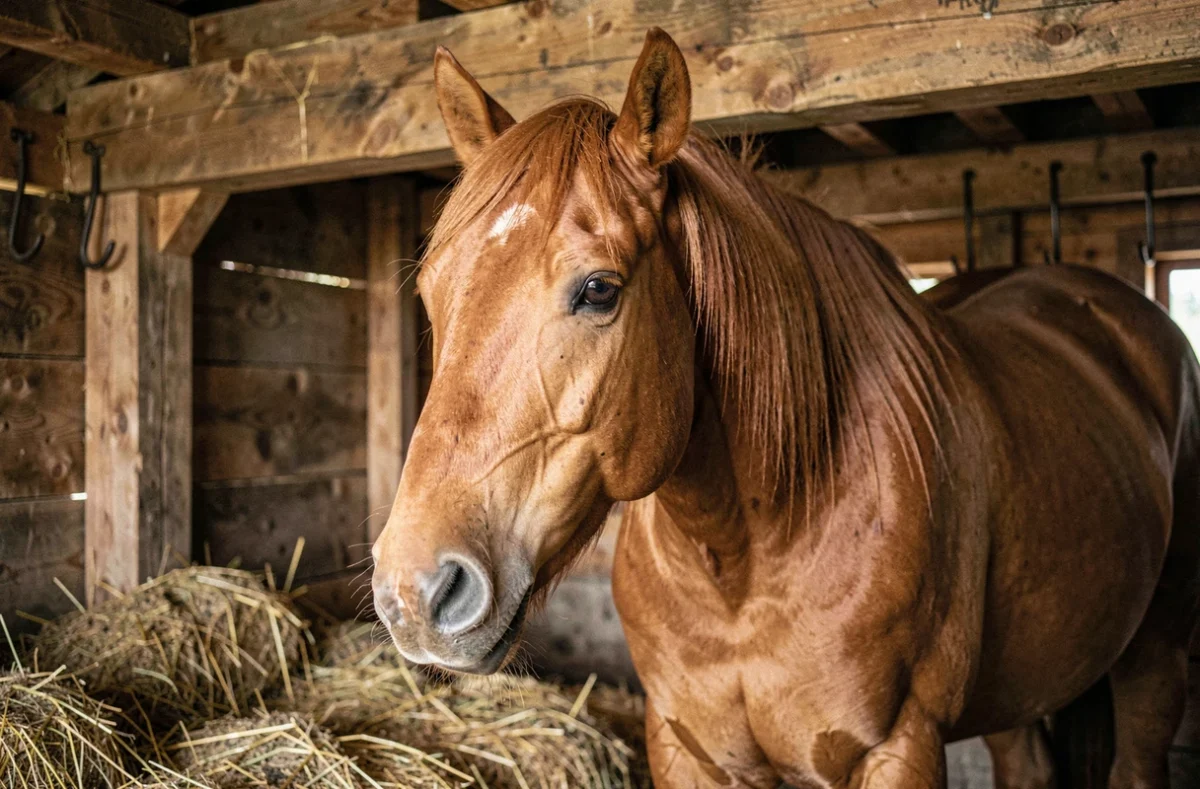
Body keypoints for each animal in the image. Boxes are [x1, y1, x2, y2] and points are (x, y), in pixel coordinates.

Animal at [371, 28, 1200, 788]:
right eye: (432, 288)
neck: (745, 560)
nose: (414, 590)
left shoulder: (898, 747)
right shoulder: (685, 746)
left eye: (599, 288)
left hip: (1155, 652)